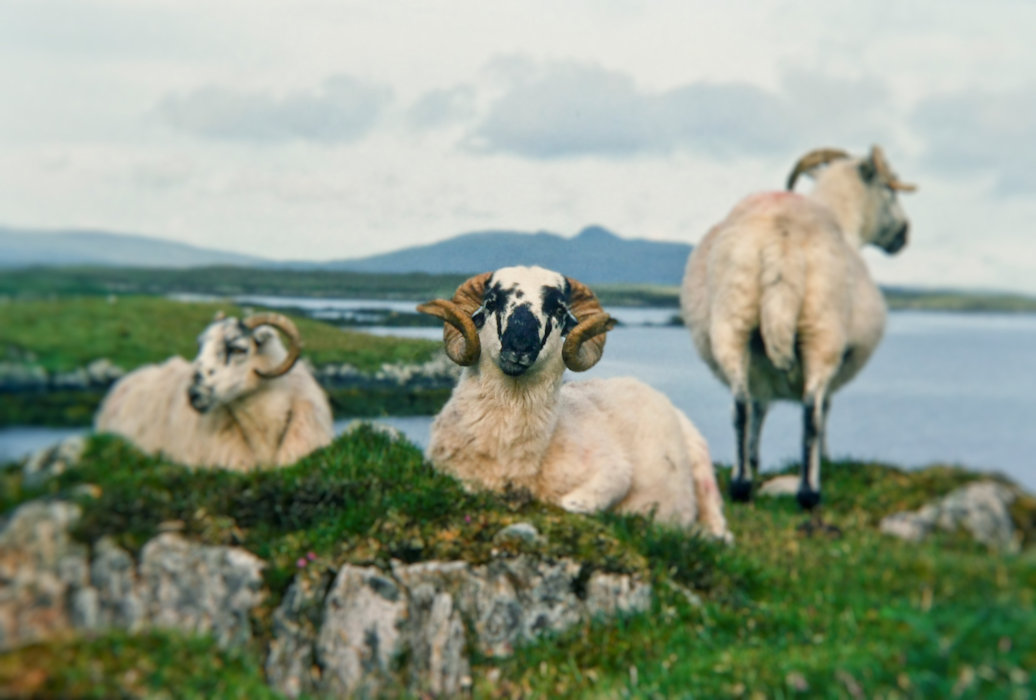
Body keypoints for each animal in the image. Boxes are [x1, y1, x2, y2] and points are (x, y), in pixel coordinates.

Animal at [417, 265, 731, 540]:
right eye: (491, 302)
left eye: (558, 310)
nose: (520, 345)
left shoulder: (613, 470)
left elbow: (570, 503)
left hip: (704, 474)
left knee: (721, 532)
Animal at [680, 145, 917, 510]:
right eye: (889, 190)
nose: (904, 234)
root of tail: (782, 235)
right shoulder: (840, 359)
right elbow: (826, 408)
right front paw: (829, 460)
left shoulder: (759, 366)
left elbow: (759, 406)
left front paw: (754, 461)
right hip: (822, 328)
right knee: (811, 412)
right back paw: (809, 492)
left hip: (733, 319)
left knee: (740, 406)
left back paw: (741, 484)